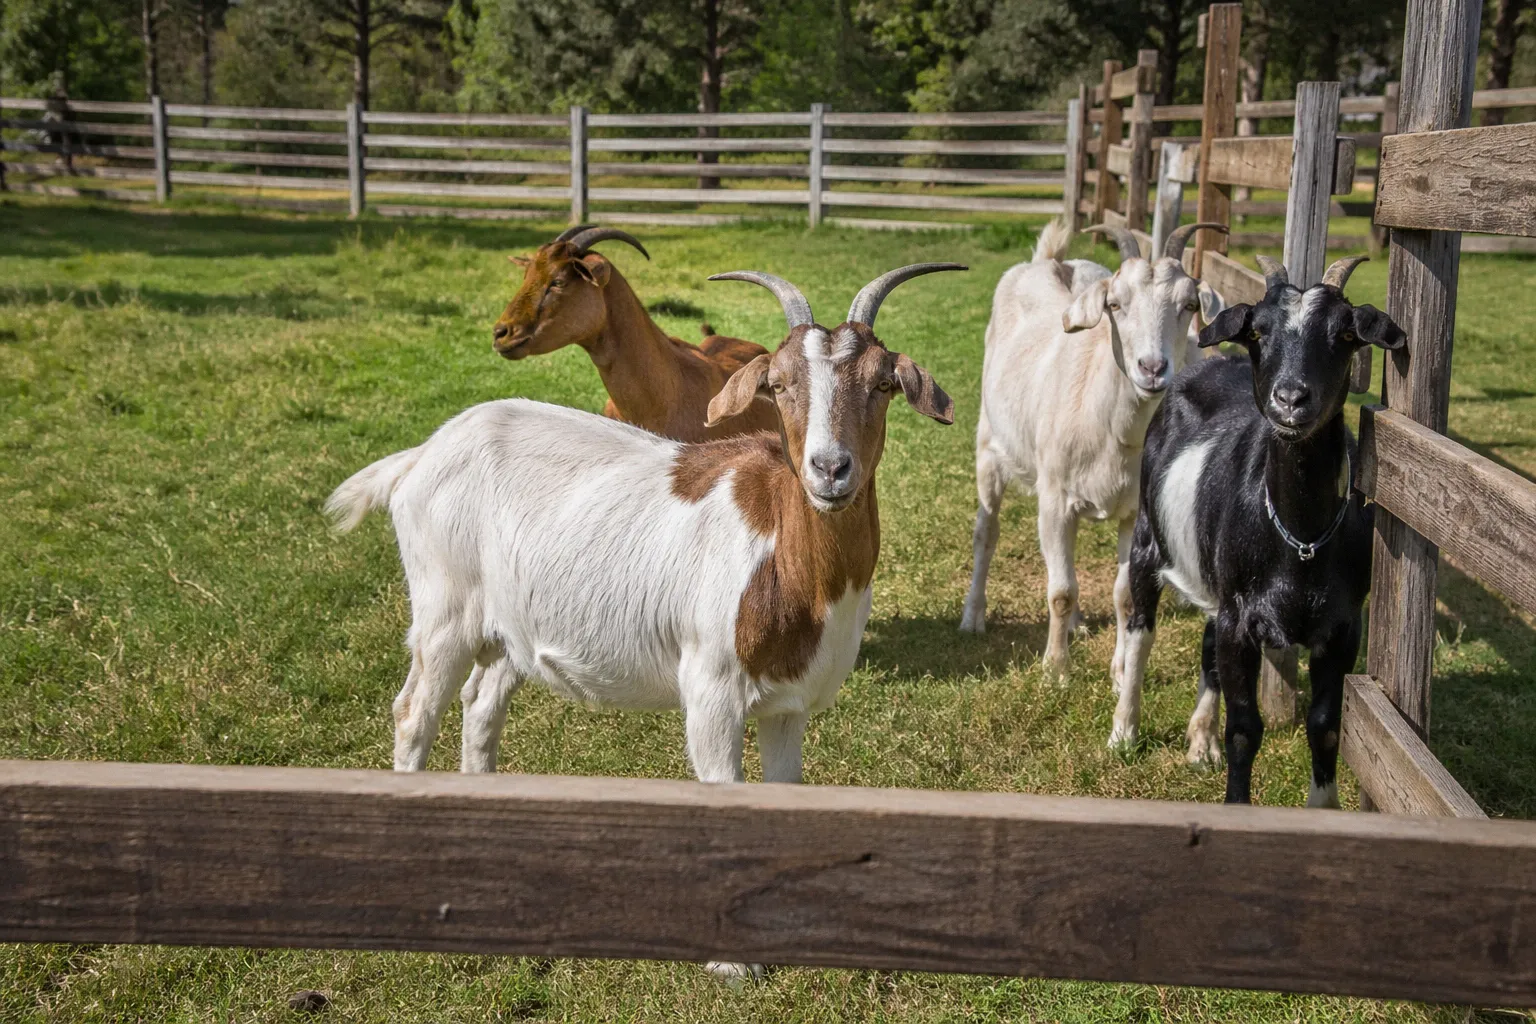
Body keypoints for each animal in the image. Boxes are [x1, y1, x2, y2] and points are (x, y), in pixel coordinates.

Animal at [959, 218, 1226, 683]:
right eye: (1115, 305)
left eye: (1190, 304)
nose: (1152, 369)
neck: (1114, 433)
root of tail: (1049, 260)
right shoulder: (1052, 500)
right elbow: (1060, 590)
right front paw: (1055, 668)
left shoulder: (1135, 513)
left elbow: (1124, 595)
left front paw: (1120, 669)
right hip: (990, 447)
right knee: (986, 533)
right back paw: (973, 616)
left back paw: (1078, 624)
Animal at [1115, 254, 1405, 805]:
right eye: (1259, 331)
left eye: (1344, 333)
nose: (1290, 399)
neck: (1301, 540)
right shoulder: (1241, 620)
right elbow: (1245, 728)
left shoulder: (1343, 627)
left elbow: (1326, 726)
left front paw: (1323, 805)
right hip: (1147, 537)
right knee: (1140, 630)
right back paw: (1124, 729)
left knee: (1206, 647)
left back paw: (1200, 742)